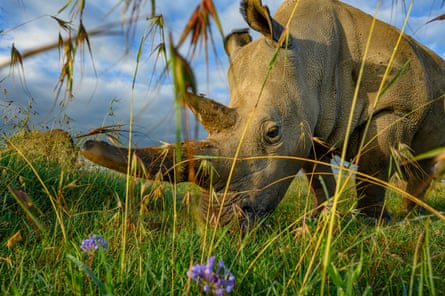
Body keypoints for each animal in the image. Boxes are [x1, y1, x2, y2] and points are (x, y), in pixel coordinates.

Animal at [80, 0, 444, 227]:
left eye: (272, 133)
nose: (220, 223)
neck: (313, 55)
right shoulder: (311, 122)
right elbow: (317, 176)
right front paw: (319, 219)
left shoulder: (397, 106)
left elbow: (373, 166)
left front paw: (369, 224)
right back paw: (414, 213)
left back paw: (410, 216)